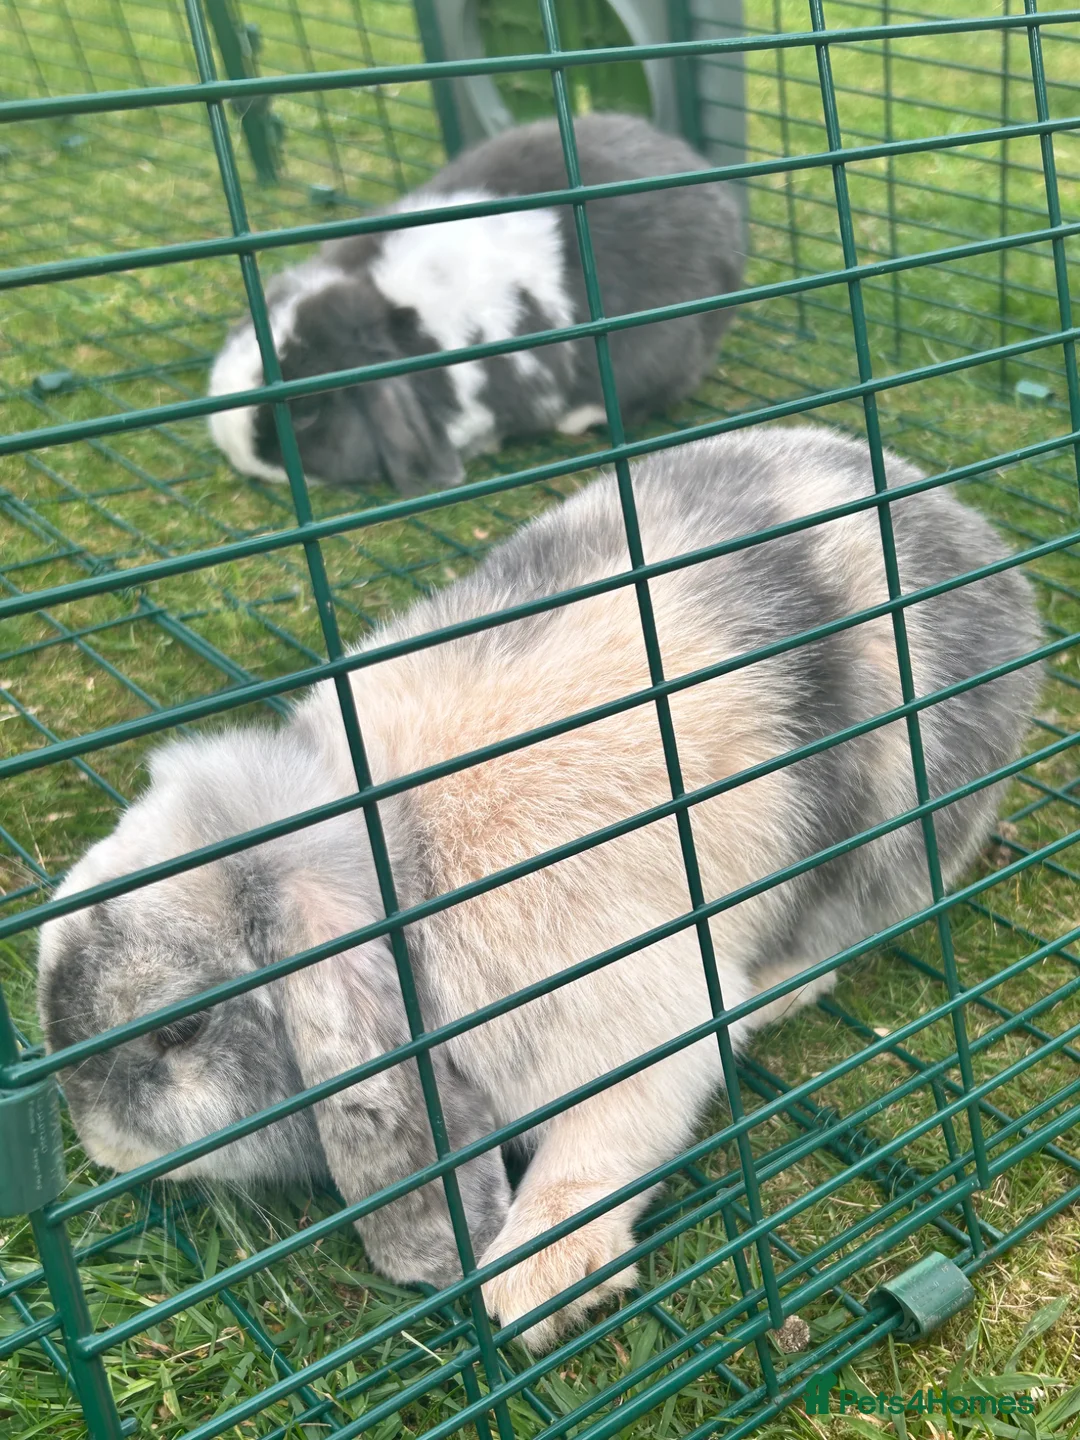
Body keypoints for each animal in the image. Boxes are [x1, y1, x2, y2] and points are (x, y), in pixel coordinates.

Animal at [38, 426, 1041, 1353]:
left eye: (179, 1031)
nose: (97, 1148)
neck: (401, 862)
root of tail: (992, 558)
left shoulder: (626, 1027)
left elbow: (599, 1153)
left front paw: (535, 1283)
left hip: (894, 842)